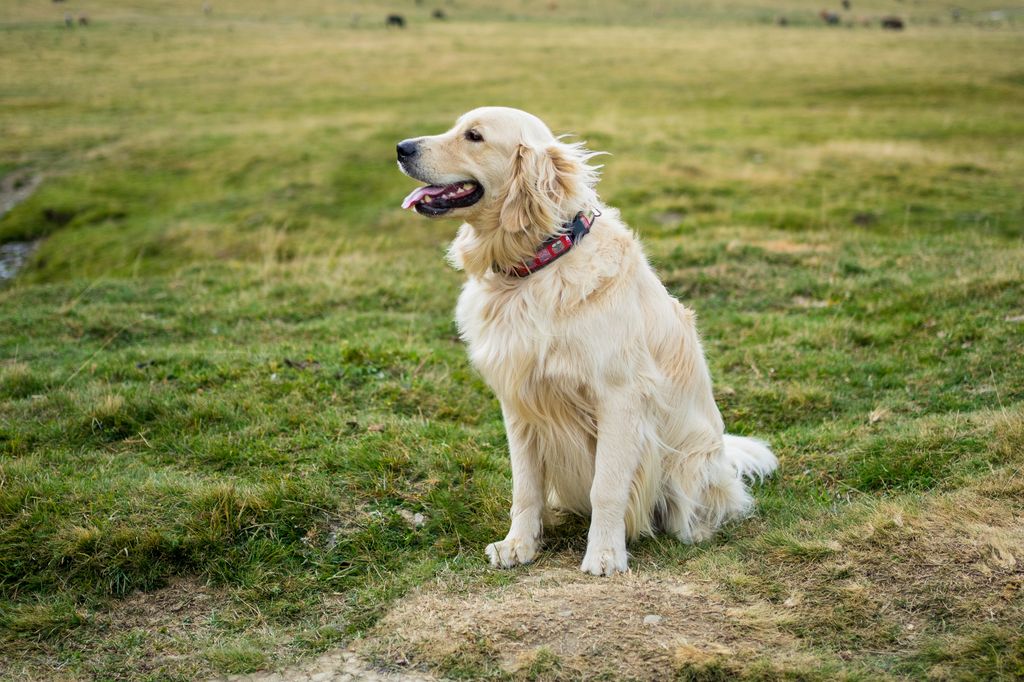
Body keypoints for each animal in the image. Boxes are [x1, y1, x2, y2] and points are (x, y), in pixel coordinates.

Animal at [395, 106, 770, 573]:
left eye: (474, 136)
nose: (401, 147)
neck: (537, 266)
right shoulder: (519, 402)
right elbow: (525, 487)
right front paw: (519, 544)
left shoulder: (619, 397)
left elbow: (606, 487)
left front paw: (605, 553)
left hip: (690, 462)